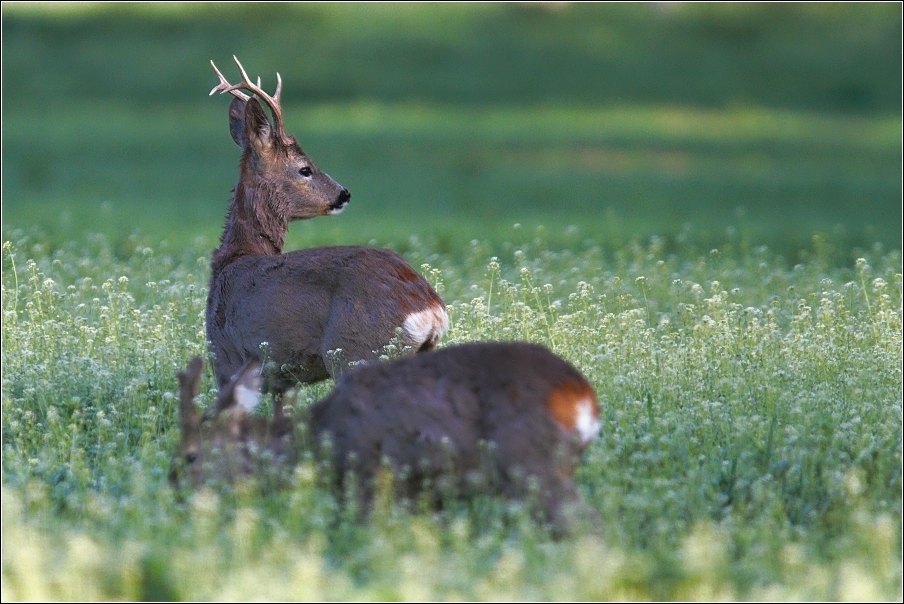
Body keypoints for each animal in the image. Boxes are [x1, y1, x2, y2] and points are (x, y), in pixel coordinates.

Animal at [171, 342, 608, 536]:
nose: (174, 493)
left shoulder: (368, 477)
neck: (320, 437)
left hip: (530, 461)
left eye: (189, 456)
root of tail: (584, 397)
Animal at [203, 56, 446, 396]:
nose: (343, 193)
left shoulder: (226, 358)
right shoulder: (284, 382)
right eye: (305, 169)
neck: (236, 257)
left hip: (357, 353)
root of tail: (431, 309)